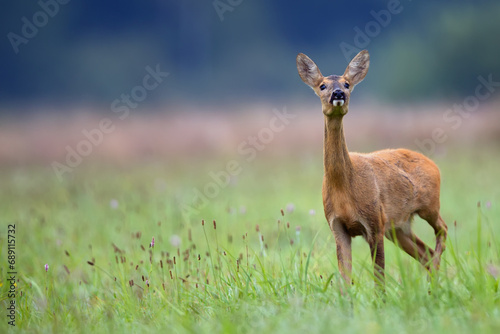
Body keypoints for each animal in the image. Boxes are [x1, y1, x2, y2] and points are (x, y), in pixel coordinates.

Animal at [296, 49, 450, 290]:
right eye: (322, 85)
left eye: (347, 83)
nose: (338, 93)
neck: (344, 187)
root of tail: (432, 163)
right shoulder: (337, 225)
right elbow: (345, 277)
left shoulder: (374, 222)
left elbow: (379, 277)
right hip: (398, 226)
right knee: (425, 252)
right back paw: (432, 285)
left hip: (429, 205)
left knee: (442, 229)